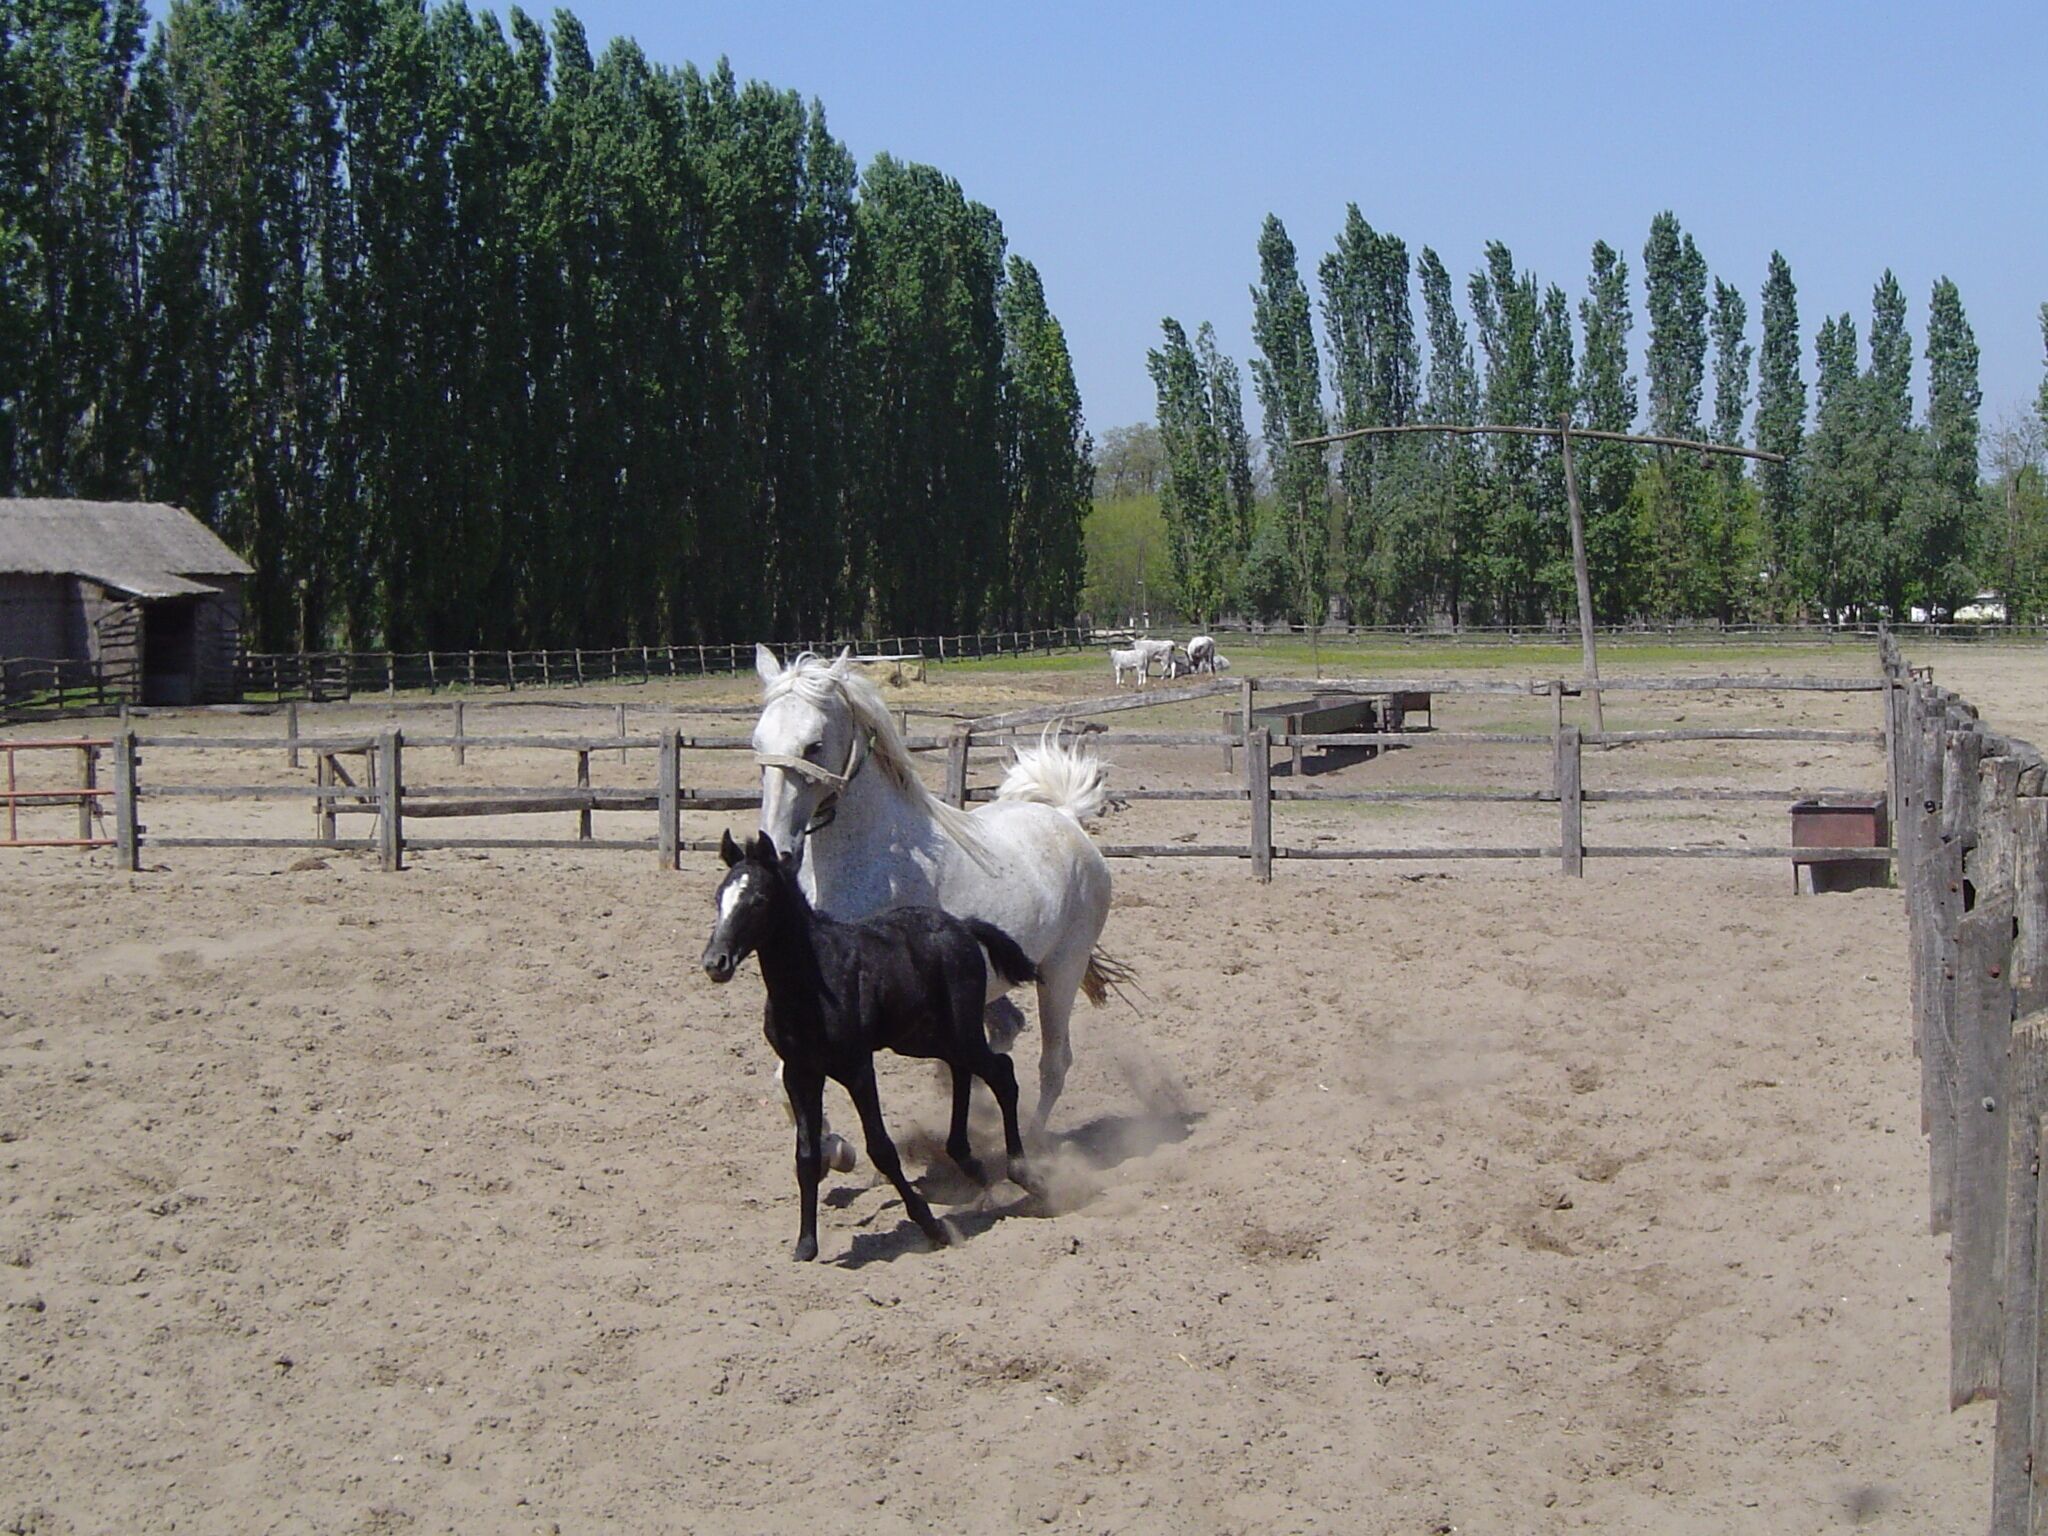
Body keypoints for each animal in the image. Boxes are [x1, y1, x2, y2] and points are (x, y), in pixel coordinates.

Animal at [702, 829, 1042, 1261]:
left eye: (758, 900)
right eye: (720, 897)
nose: (716, 962)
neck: (814, 983)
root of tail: (962, 927)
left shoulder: (857, 1068)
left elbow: (880, 1148)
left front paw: (933, 1226)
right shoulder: (801, 1073)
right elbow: (806, 1155)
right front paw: (806, 1244)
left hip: (960, 1028)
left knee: (1002, 1074)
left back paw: (1023, 1173)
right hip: (923, 1038)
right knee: (963, 1070)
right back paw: (967, 1159)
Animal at [751, 647, 1116, 1140]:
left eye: (813, 745)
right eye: (757, 742)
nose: (776, 849)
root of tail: (1067, 819)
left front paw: (835, 1146)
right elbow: (787, 1087)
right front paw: (832, 1144)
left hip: (1062, 972)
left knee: (1054, 1063)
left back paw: (1033, 1140)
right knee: (1006, 1033)